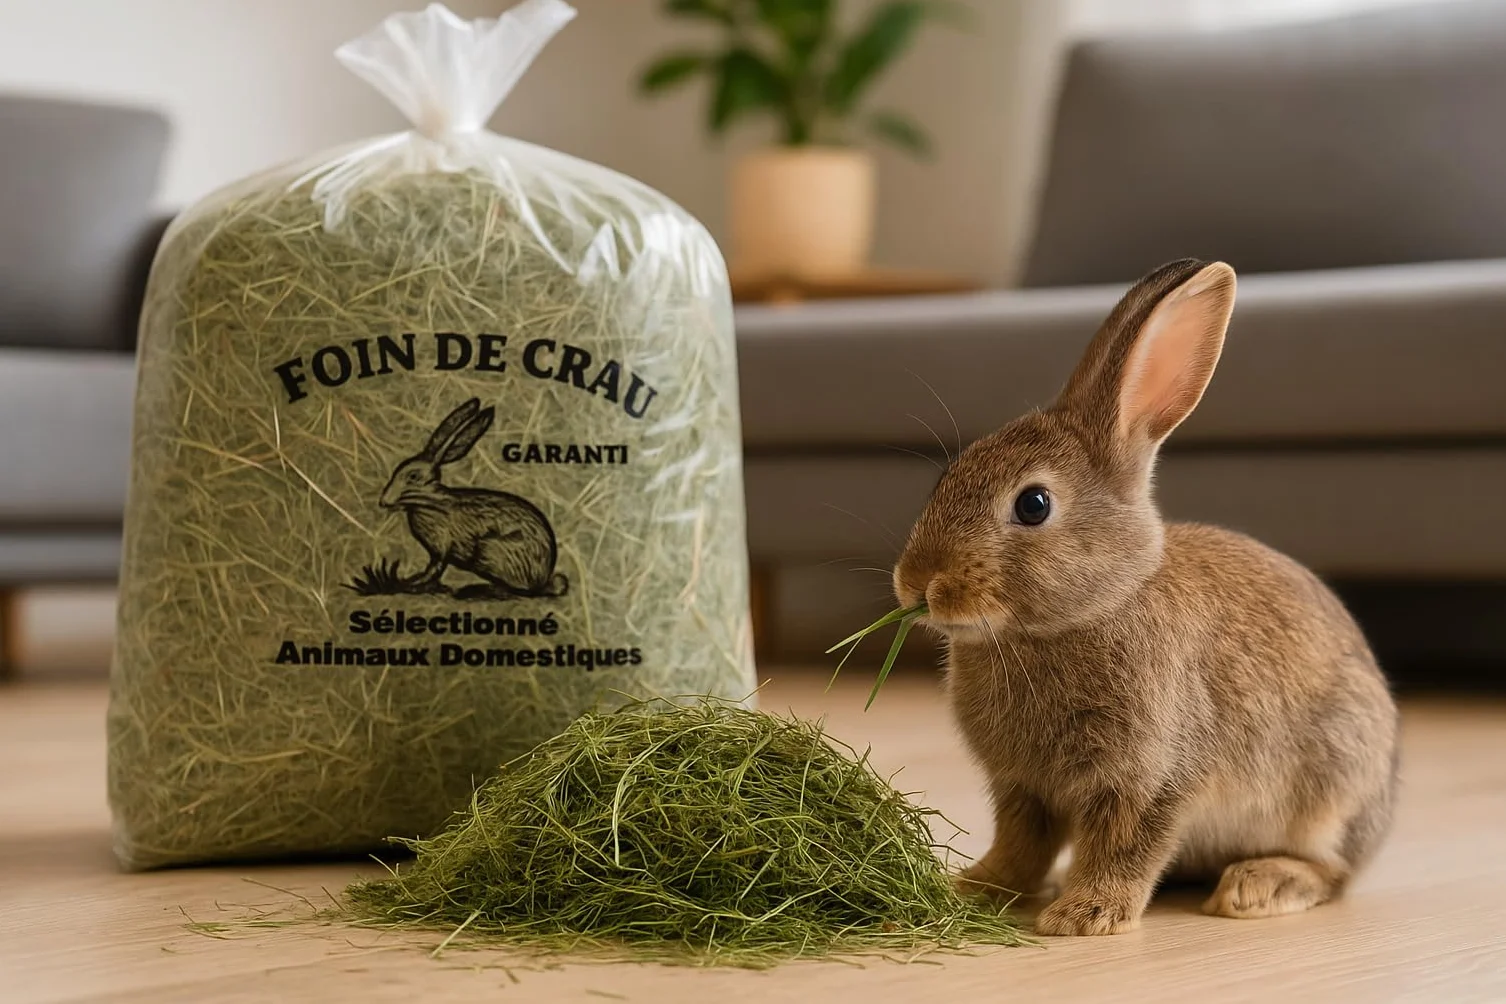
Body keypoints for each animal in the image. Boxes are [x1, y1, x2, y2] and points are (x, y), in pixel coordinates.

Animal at [380, 397, 568, 599]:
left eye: (413, 476)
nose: (383, 501)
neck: (431, 502)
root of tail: (544, 579)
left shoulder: (441, 549)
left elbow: (434, 569)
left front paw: (409, 583)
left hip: (490, 552)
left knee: (512, 590)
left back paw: (473, 590)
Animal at [892, 259, 1399, 937]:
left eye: (1033, 504)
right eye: (944, 479)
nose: (916, 583)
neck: (1094, 607)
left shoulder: (1151, 776)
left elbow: (1127, 846)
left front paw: (1082, 915)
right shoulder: (1023, 788)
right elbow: (1021, 846)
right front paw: (975, 889)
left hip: (1333, 787)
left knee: (1332, 871)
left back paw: (1257, 887)